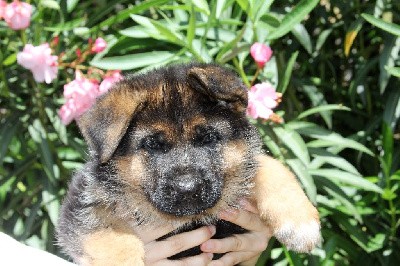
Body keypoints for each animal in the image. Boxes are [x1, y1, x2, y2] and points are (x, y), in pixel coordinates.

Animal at [56, 62, 320, 264]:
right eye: (152, 144)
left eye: (208, 138)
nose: (188, 189)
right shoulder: (80, 205)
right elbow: (107, 234)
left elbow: (269, 165)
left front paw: (300, 222)